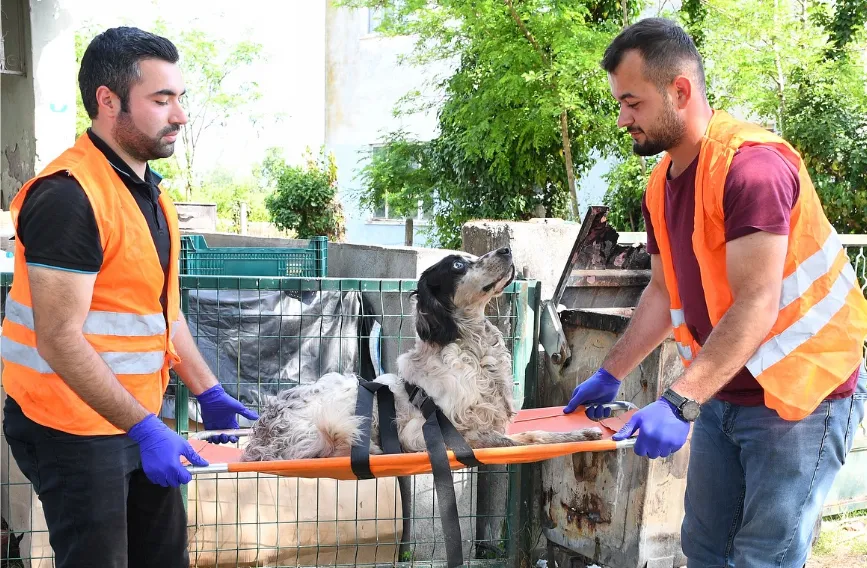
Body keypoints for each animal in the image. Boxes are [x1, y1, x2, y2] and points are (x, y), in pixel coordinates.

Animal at [241, 246, 600, 464]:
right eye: (458, 265)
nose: (507, 249)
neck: (473, 350)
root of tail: (259, 434)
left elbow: (534, 434)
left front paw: (580, 434)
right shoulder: (424, 435)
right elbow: (514, 440)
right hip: (334, 424)